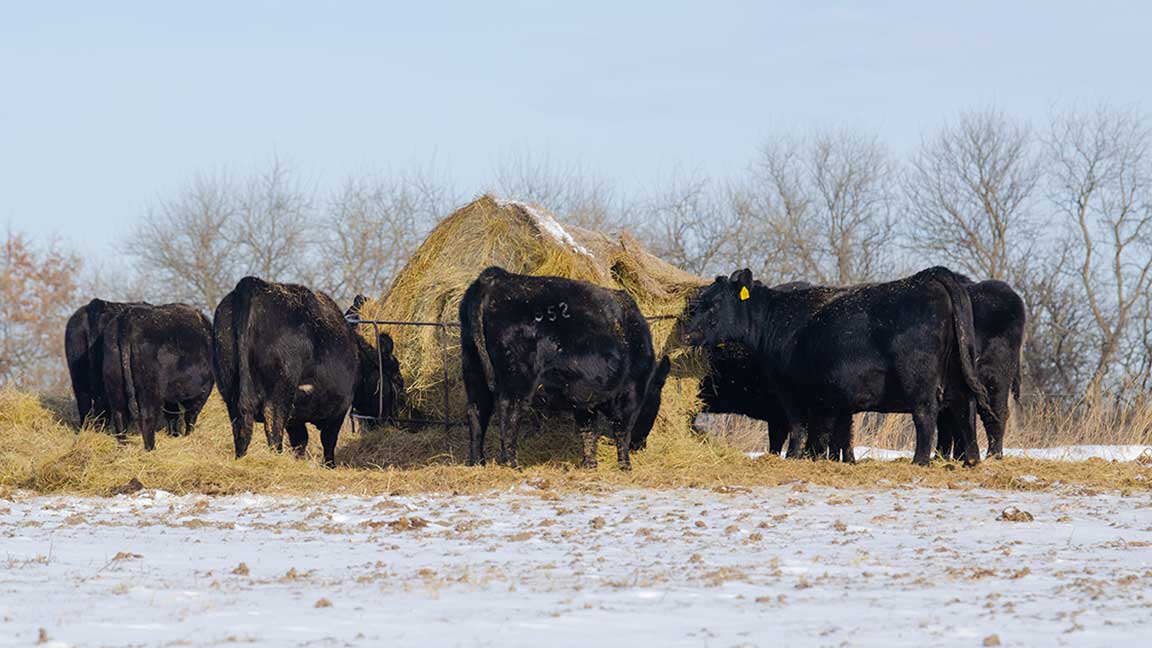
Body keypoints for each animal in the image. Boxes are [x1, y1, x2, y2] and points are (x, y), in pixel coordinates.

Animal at [101, 302, 214, 442]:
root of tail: (129, 317)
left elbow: (173, 416)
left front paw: (174, 434)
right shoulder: (202, 390)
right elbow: (190, 416)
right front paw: (188, 435)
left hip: (115, 384)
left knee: (119, 414)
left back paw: (124, 443)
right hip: (150, 388)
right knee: (147, 416)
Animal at [214, 274, 403, 465]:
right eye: (397, 379)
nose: (391, 421)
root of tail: (253, 284)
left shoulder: (296, 417)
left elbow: (300, 441)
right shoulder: (340, 404)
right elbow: (328, 440)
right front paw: (329, 465)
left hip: (231, 391)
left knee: (241, 429)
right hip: (280, 392)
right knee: (273, 427)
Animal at [458, 265, 672, 465]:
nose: (640, 446)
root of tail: (496, 277)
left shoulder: (585, 397)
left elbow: (588, 430)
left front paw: (590, 464)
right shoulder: (631, 394)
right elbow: (622, 430)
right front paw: (625, 465)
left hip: (473, 367)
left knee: (477, 410)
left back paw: (478, 461)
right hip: (518, 377)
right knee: (509, 410)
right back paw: (511, 462)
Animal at [686, 265, 995, 461]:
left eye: (714, 304)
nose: (687, 332)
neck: (779, 322)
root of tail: (929, 276)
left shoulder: (792, 392)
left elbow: (801, 429)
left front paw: (795, 457)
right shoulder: (834, 399)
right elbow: (833, 435)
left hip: (918, 380)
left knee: (926, 415)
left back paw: (920, 461)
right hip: (957, 374)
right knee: (966, 408)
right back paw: (971, 460)